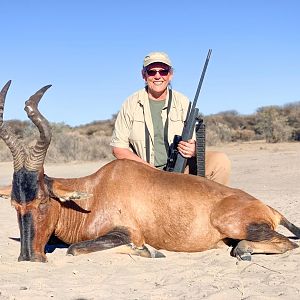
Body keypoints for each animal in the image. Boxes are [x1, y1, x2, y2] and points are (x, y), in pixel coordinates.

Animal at [0, 80, 298, 262]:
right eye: (15, 203)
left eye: (42, 201)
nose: (28, 257)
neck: (96, 191)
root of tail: (267, 206)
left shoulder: (127, 233)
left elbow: (75, 249)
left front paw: (152, 251)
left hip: (234, 224)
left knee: (288, 243)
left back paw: (244, 249)